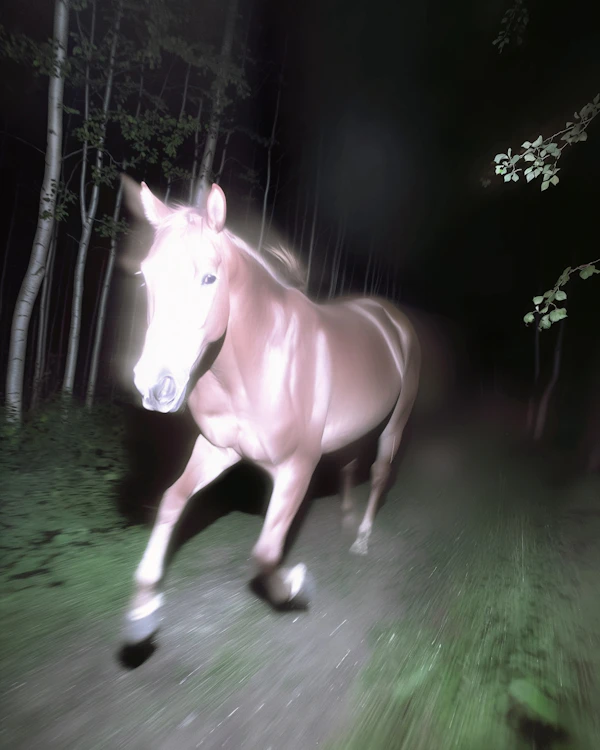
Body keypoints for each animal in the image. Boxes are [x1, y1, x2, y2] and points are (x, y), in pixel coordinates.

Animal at [121, 176, 421, 644]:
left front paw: (296, 583)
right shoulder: (217, 449)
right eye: (145, 275)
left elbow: (265, 553)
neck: (259, 361)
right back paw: (347, 518)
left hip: (396, 422)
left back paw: (362, 537)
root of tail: (391, 318)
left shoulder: (298, 466)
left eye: (209, 277)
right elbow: (171, 501)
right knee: (352, 464)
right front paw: (143, 608)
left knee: (378, 472)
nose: (156, 385)